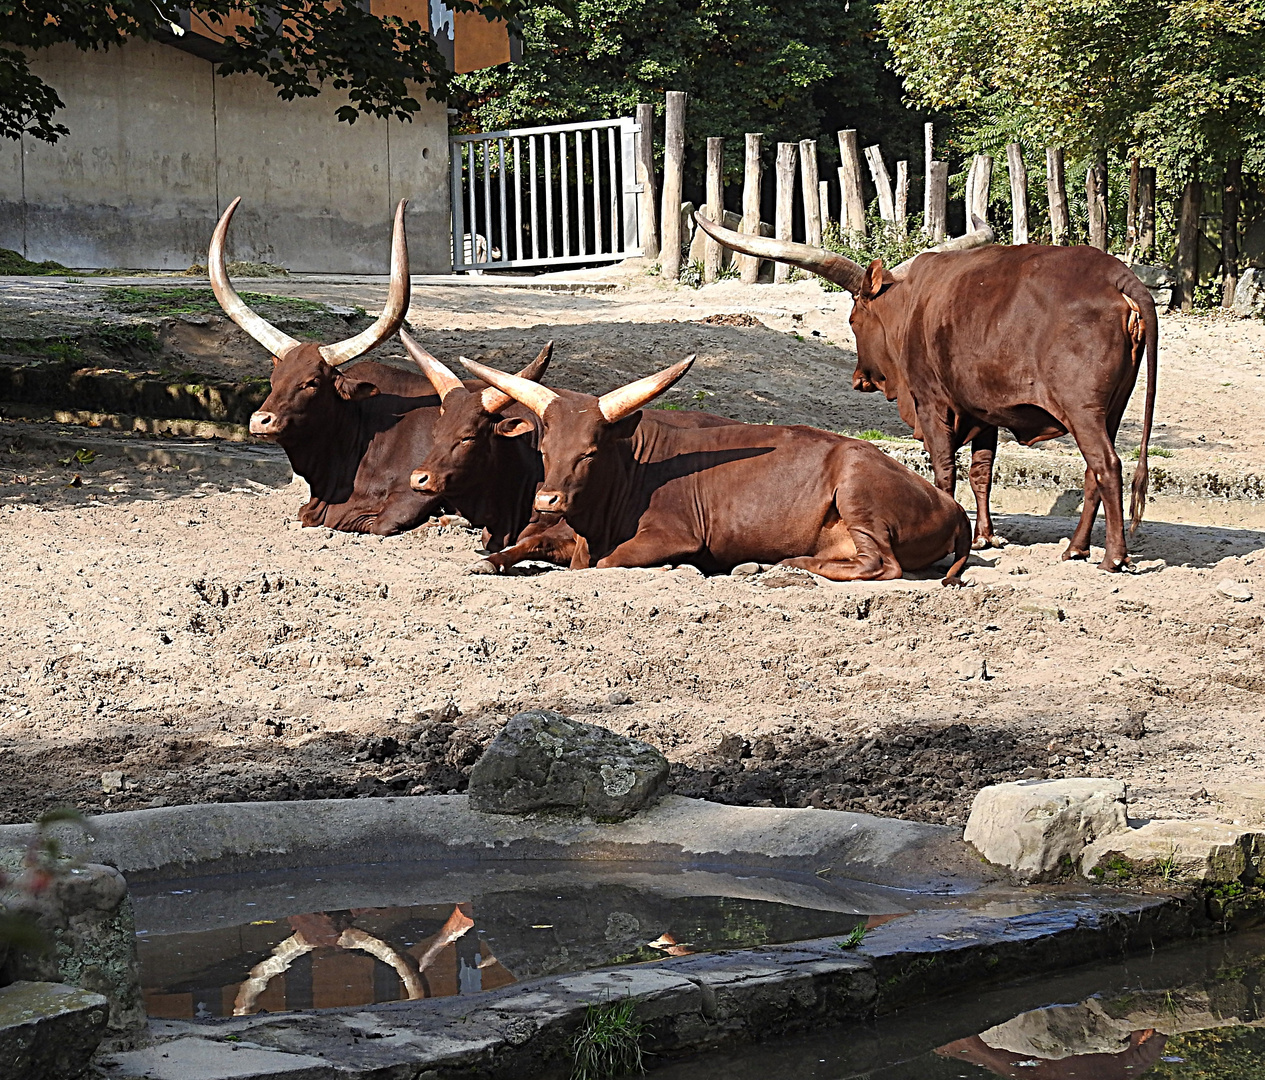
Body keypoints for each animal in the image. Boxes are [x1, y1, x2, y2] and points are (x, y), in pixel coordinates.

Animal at [460, 354, 971, 584]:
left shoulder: (673, 535)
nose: (548, 499)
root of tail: (952, 506)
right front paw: (489, 561)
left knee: (880, 563)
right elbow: (529, 542)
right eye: (546, 449)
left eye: (590, 451)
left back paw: (784, 564)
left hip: (856, 487)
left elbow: (606, 563)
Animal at [698, 209, 1158, 571]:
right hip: (1112, 409)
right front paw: (984, 535)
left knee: (1106, 466)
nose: (859, 379)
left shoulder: (933, 402)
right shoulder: (983, 411)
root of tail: (1119, 277)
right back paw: (1076, 548)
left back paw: (1112, 557)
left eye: (852, 320)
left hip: (1082, 410)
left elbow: (944, 470)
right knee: (1092, 473)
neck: (911, 304)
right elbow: (981, 472)